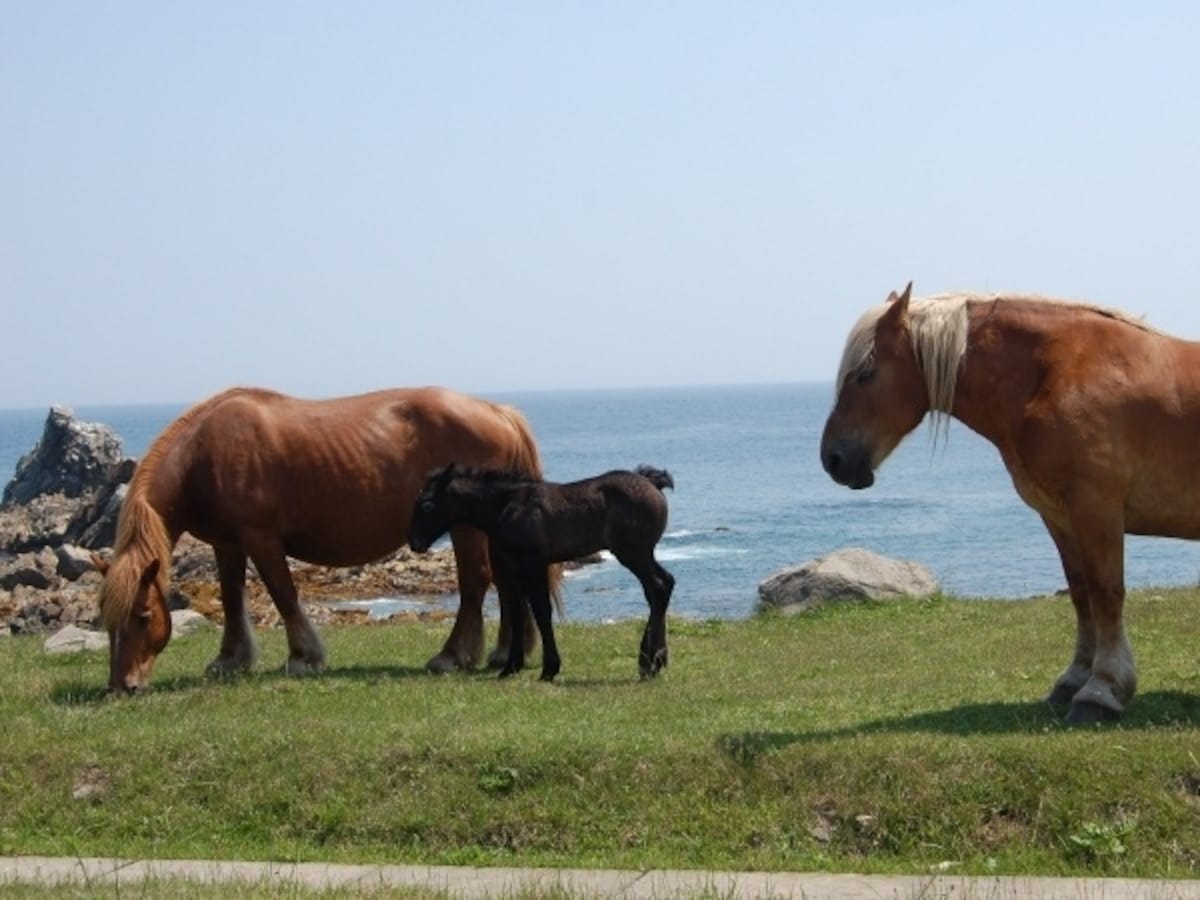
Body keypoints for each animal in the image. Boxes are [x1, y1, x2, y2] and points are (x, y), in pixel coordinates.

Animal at [93, 385, 557, 693]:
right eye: (107, 620)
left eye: (144, 616)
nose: (122, 686)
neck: (204, 455)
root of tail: (497, 411)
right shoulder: (227, 544)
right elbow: (232, 598)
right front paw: (231, 659)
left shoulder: (260, 538)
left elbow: (282, 593)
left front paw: (303, 657)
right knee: (505, 582)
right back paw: (504, 653)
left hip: (465, 527)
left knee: (475, 582)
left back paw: (451, 656)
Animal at [408, 463, 676, 681]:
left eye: (427, 505)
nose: (415, 543)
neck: (505, 507)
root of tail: (653, 484)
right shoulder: (511, 569)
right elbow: (517, 614)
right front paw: (510, 668)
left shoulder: (533, 564)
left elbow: (541, 611)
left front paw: (549, 669)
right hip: (641, 554)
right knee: (661, 587)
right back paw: (655, 661)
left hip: (633, 554)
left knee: (659, 586)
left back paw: (648, 663)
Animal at [820, 281, 1200, 722]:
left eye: (865, 374)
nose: (833, 459)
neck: (1056, 374)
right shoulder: (1060, 517)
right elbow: (1082, 594)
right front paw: (1073, 680)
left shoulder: (1096, 508)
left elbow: (1106, 593)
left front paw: (1101, 691)